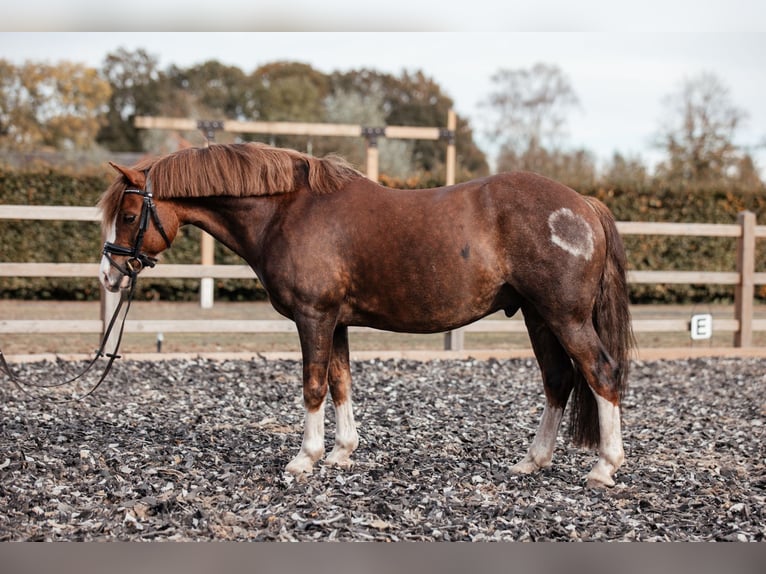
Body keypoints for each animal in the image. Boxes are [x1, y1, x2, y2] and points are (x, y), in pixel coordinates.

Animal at [99, 142, 632, 488]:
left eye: (128, 216)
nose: (109, 274)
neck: (287, 211)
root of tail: (582, 204)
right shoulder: (335, 322)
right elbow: (341, 383)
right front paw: (341, 453)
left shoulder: (313, 317)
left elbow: (314, 386)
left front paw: (305, 459)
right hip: (538, 317)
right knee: (559, 380)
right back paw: (532, 461)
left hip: (564, 317)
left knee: (601, 373)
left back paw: (604, 467)